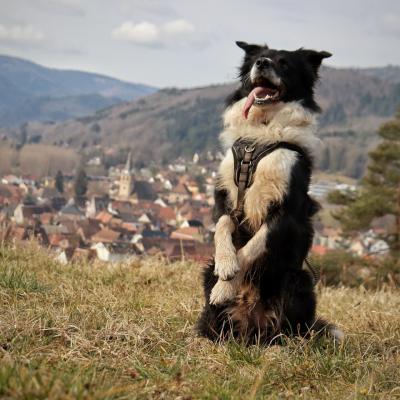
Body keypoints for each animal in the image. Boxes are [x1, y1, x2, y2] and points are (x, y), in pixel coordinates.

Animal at [197, 42, 344, 346]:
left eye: (284, 63)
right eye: (258, 59)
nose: (262, 63)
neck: (261, 135)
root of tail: (249, 324)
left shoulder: (286, 211)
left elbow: (253, 247)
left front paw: (226, 285)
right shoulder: (224, 197)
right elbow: (224, 224)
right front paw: (226, 266)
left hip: (297, 281)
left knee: (287, 331)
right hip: (207, 272)